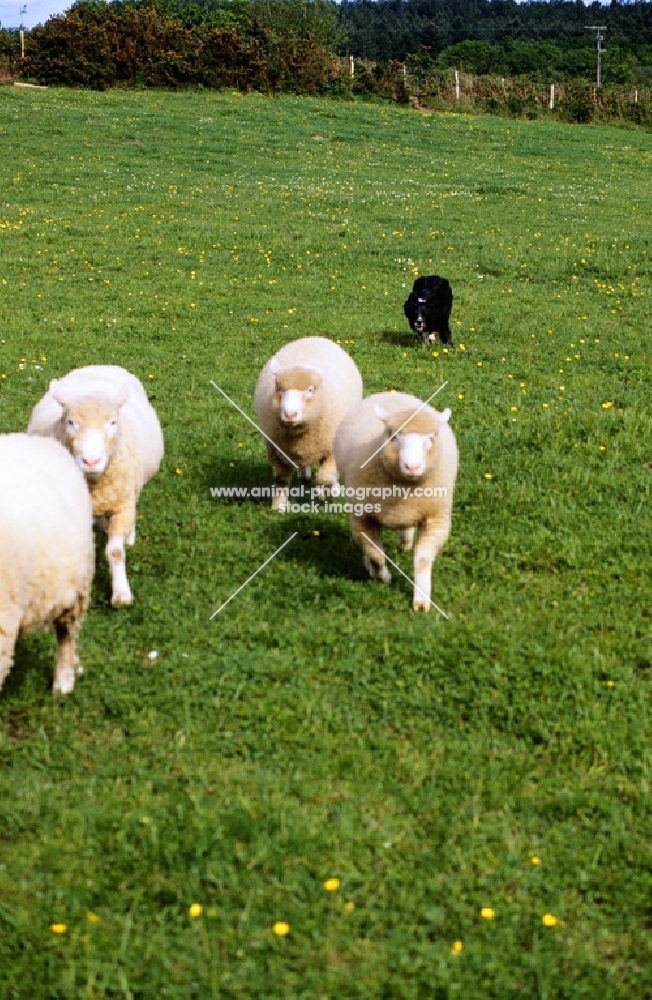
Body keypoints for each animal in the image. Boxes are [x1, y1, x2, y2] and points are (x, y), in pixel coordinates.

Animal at [28, 364, 164, 604]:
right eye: (70, 422)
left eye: (113, 422)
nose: (91, 461)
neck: (93, 484)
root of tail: (102, 365)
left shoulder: (122, 505)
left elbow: (115, 551)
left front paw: (121, 594)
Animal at [255, 336, 364, 508]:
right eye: (279, 388)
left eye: (311, 389)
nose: (290, 414)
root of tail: (313, 337)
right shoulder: (276, 451)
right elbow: (281, 479)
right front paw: (278, 506)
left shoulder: (331, 448)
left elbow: (325, 477)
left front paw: (330, 491)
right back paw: (304, 475)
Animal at [332, 390, 458, 608]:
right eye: (394, 437)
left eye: (431, 438)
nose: (412, 466)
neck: (405, 488)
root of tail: (393, 393)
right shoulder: (363, 518)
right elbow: (375, 555)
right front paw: (383, 577)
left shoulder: (436, 518)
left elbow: (423, 559)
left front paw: (421, 600)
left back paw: (405, 543)